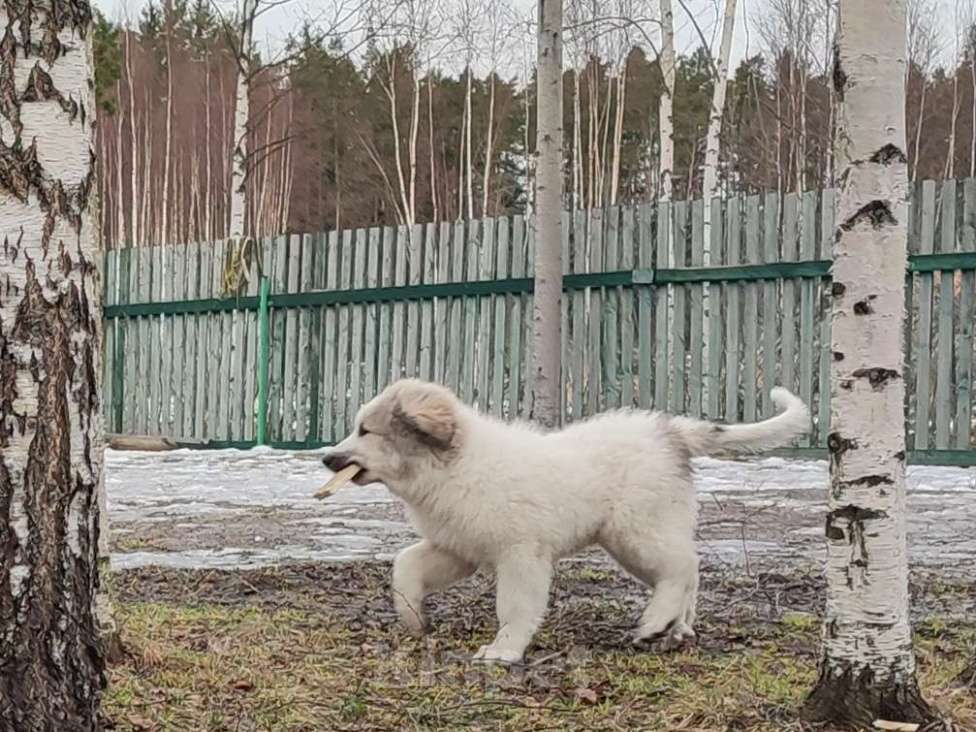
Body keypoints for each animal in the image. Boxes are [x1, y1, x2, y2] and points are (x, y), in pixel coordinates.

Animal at [324, 384, 812, 664]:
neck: (452, 465)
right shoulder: (458, 547)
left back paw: (655, 622)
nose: (327, 458)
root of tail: (669, 431)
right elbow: (406, 564)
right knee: (687, 568)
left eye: (366, 431)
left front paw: (503, 651)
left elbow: (515, 607)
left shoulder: (521, 554)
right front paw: (412, 618)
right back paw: (677, 629)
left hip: (635, 530)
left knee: (684, 566)